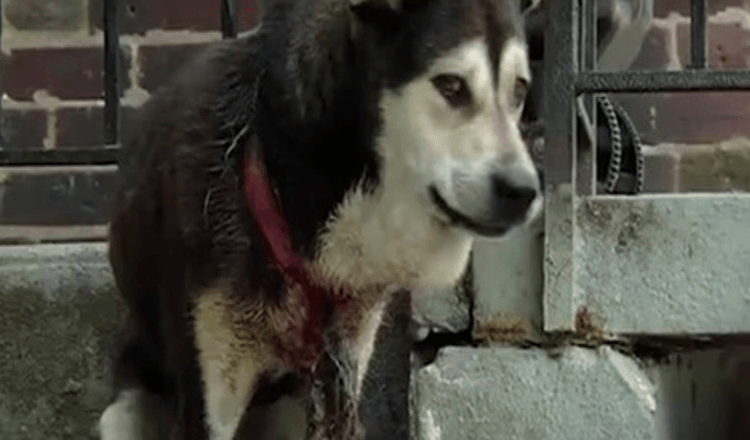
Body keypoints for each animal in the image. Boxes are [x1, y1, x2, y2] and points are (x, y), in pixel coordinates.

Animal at [100, 0, 544, 438]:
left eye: (519, 91)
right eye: (450, 85)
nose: (524, 191)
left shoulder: (342, 366)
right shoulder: (209, 394)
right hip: (121, 414)